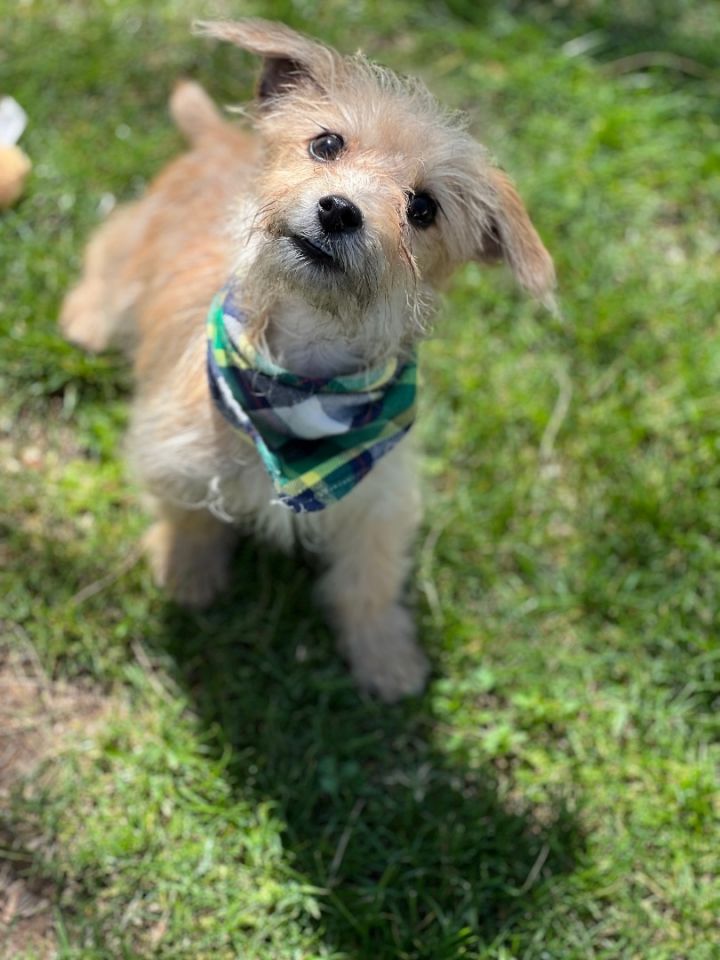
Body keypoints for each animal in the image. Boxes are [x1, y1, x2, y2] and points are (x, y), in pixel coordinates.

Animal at [62, 18, 556, 700]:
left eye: (424, 208)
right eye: (327, 144)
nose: (339, 210)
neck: (303, 377)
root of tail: (216, 139)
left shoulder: (376, 503)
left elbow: (368, 584)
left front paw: (385, 658)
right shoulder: (174, 450)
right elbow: (188, 517)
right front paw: (186, 576)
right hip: (129, 253)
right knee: (107, 257)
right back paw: (85, 317)